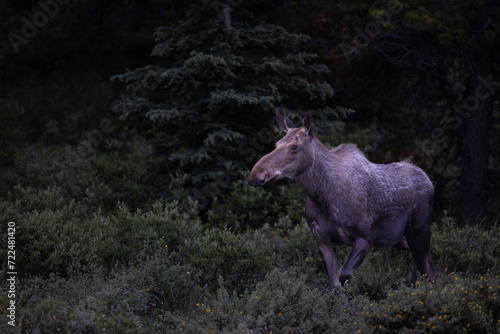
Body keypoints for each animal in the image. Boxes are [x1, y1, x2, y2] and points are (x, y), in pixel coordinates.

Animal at [248, 109, 436, 292]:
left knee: (427, 270)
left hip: (418, 231)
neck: (321, 198)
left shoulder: (365, 237)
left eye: (294, 146)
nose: (256, 175)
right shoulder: (323, 241)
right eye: (276, 144)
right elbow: (334, 286)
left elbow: (344, 276)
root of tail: (430, 182)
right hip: (398, 238)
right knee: (429, 264)